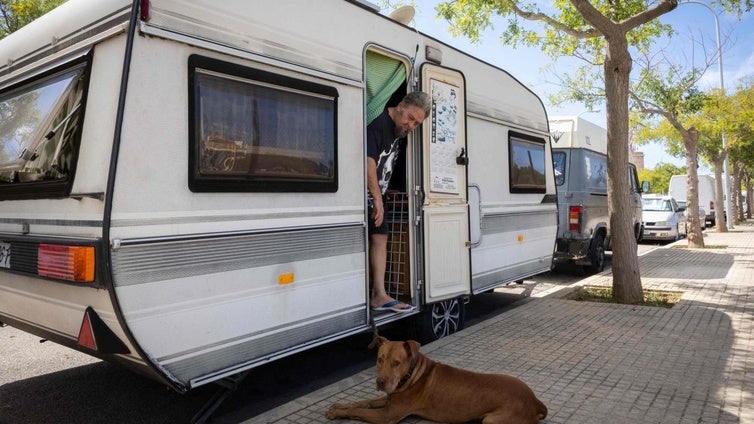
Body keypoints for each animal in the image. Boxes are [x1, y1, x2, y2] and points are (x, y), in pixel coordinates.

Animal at [324, 336, 548, 422]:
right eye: (379, 359)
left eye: (396, 362)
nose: (381, 382)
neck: (411, 375)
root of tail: (535, 401)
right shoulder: (389, 399)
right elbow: (364, 402)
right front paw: (339, 406)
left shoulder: (388, 415)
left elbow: (360, 411)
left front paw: (340, 412)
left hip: (493, 419)